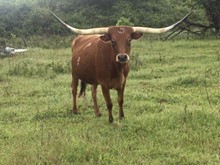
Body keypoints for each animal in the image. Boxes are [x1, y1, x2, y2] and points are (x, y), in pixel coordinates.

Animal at [49, 11, 191, 122]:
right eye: (113, 41)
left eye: (129, 40)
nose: (122, 57)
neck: (116, 70)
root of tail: (77, 39)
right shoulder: (104, 84)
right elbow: (109, 103)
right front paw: (111, 120)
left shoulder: (123, 82)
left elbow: (120, 100)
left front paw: (121, 116)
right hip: (74, 74)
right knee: (73, 90)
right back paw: (75, 110)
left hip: (94, 79)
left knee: (93, 93)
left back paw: (97, 113)